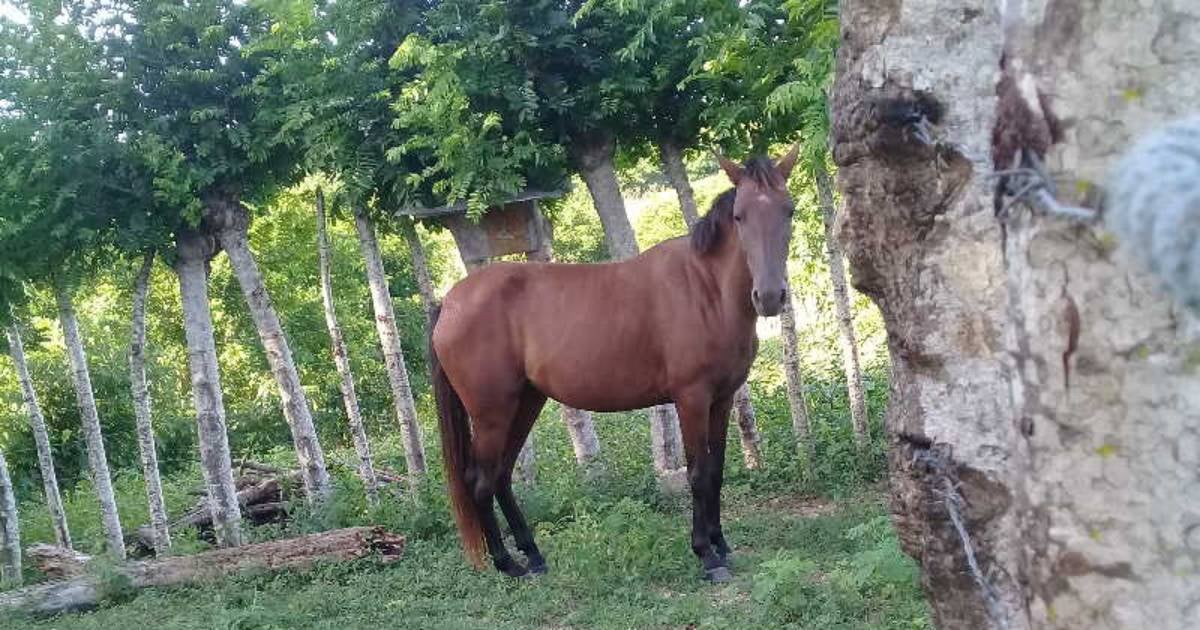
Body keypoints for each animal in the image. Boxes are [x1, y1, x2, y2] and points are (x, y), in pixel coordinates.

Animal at [429, 146, 796, 580]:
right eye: (739, 216)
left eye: (789, 210)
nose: (770, 297)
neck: (706, 289)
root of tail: (450, 302)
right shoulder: (691, 399)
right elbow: (698, 474)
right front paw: (706, 555)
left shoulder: (721, 400)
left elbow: (717, 470)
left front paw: (722, 545)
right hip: (490, 413)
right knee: (480, 481)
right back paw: (507, 564)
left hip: (525, 403)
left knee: (501, 475)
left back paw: (533, 555)